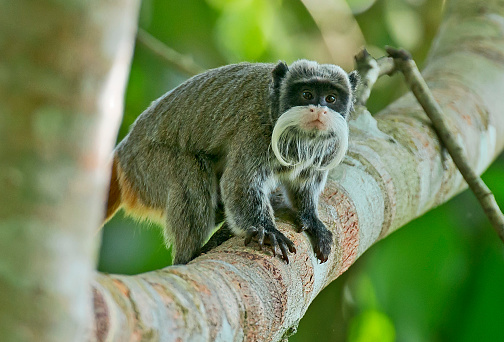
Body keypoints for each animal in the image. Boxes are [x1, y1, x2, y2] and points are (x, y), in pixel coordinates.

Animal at [105, 59, 358, 264]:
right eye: (307, 95)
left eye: (331, 98)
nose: (320, 109)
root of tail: (123, 152)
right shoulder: (257, 131)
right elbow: (240, 183)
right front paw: (268, 231)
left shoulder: (327, 147)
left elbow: (304, 184)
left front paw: (311, 218)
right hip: (144, 168)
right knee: (190, 173)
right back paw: (188, 256)